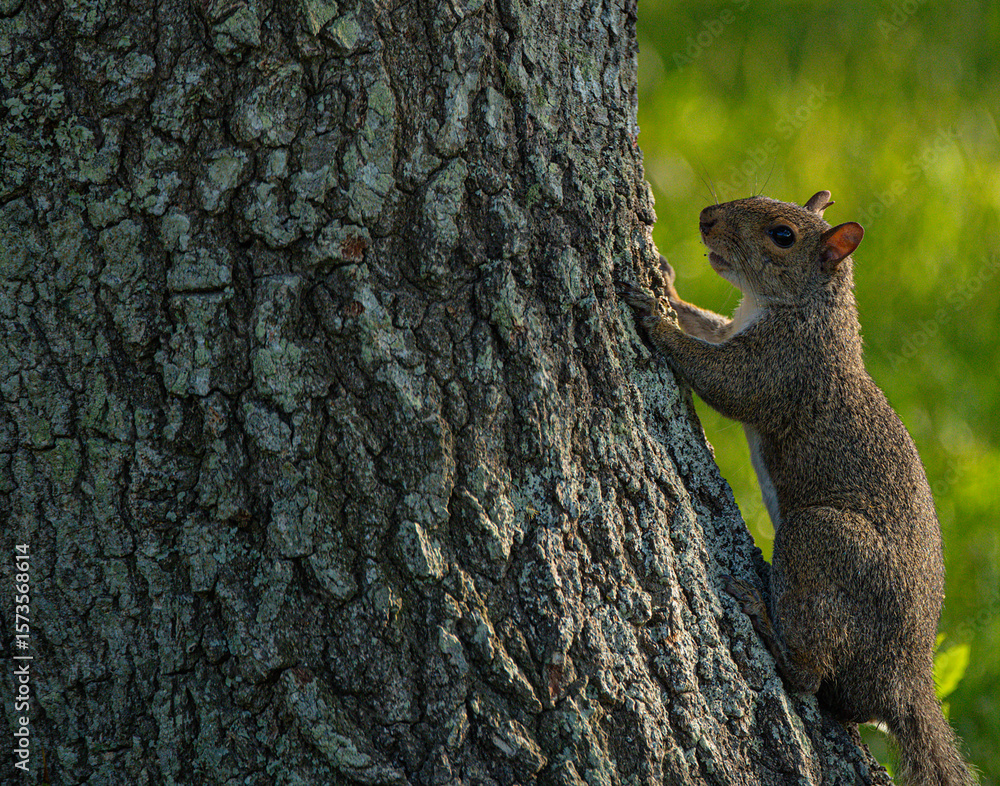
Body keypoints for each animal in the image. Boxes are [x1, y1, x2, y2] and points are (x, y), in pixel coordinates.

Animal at [620, 191, 973, 786]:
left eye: (782, 235)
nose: (706, 219)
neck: (798, 307)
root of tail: (905, 676)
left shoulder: (781, 366)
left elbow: (722, 379)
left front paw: (654, 317)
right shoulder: (735, 330)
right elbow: (709, 325)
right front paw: (666, 287)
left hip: (819, 540)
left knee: (808, 676)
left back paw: (763, 620)